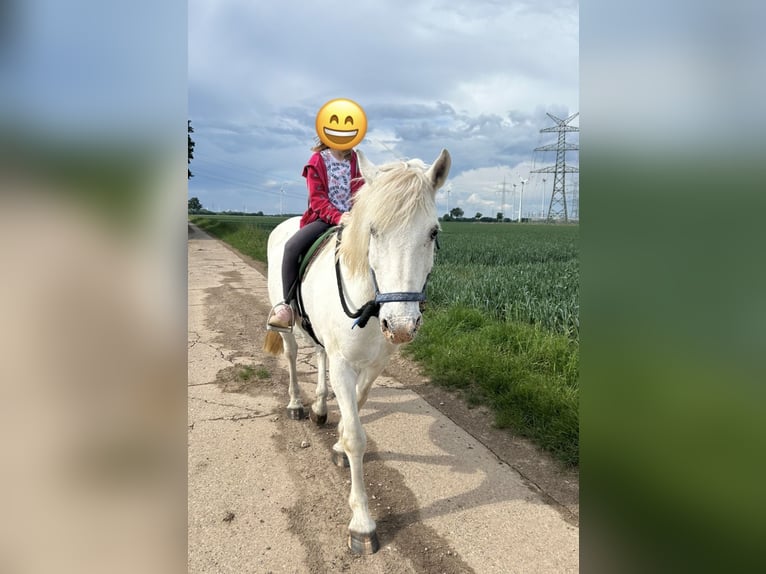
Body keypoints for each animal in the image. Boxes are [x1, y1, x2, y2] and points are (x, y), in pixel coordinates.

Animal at [262, 148, 451, 554]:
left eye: (433, 232)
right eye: (373, 230)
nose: (401, 325)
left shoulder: (375, 364)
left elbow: (358, 408)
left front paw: (334, 444)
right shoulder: (344, 366)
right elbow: (356, 437)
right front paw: (362, 523)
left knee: (318, 357)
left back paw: (319, 407)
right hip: (286, 326)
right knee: (292, 357)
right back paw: (297, 405)